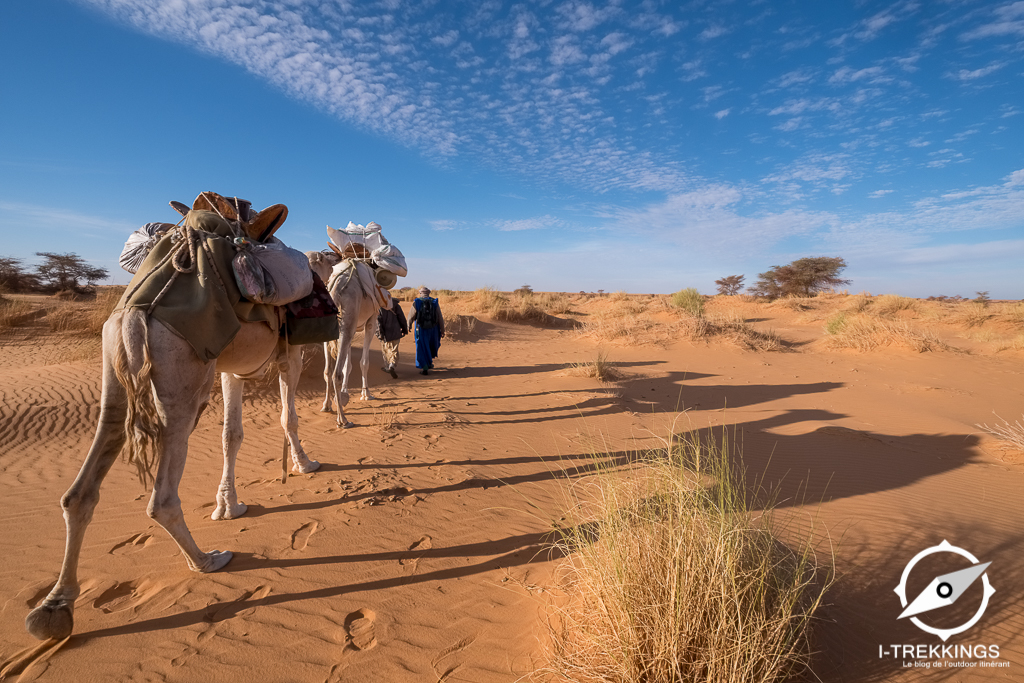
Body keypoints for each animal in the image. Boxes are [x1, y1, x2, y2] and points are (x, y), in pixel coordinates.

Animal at [307, 250, 385, 428]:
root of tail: (334, 287)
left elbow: (347, 365)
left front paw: (343, 395)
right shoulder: (371, 321)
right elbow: (363, 362)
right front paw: (366, 394)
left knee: (328, 371)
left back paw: (327, 405)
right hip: (351, 319)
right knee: (336, 373)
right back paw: (343, 419)